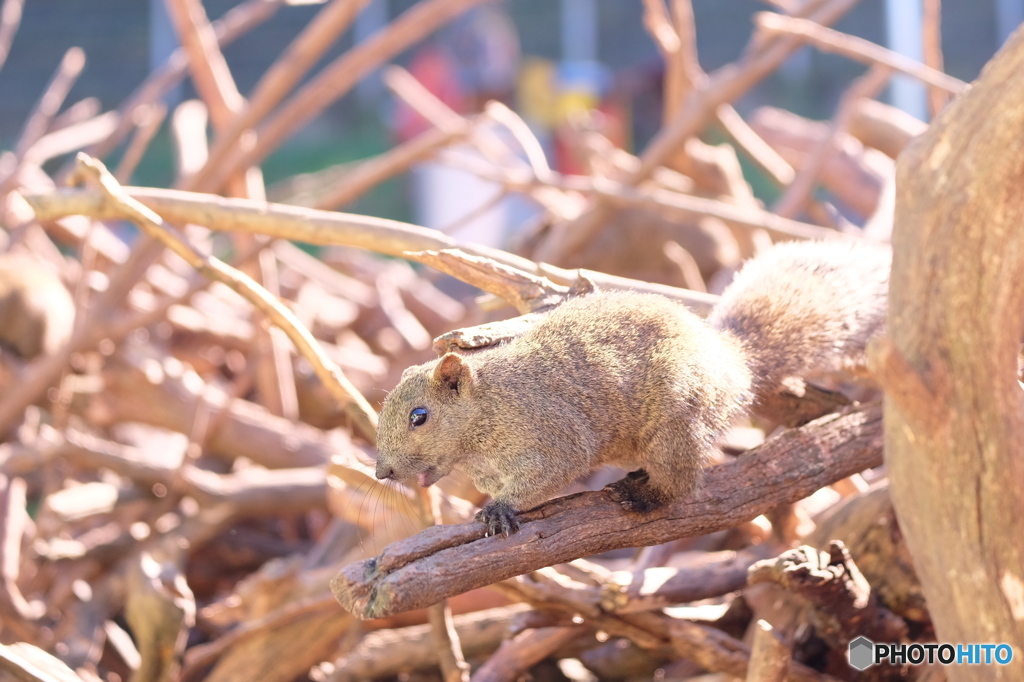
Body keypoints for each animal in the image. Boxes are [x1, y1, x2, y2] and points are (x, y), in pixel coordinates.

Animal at [374, 240, 888, 536]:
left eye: (419, 416)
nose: (382, 473)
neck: (483, 421)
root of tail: (733, 364)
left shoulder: (551, 432)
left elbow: (549, 472)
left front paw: (500, 509)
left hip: (677, 426)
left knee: (682, 484)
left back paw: (645, 496)